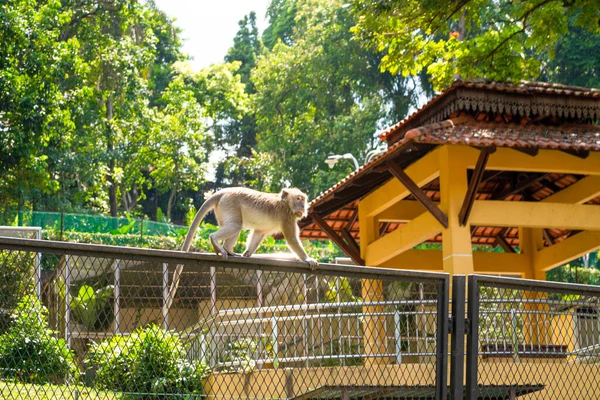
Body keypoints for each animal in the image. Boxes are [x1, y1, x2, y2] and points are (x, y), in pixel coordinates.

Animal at [183, 187, 318, 268]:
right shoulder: (287, 217)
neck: (286, 203)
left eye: (303, 199)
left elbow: (259, 232)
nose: (303, 206)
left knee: (235, 227)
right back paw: (215, 240)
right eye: (298, 199)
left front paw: (247, 253)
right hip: (230, 203)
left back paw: (228, 249)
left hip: (222, 209)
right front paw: (307, 259)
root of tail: (223, 192)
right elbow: (291, 239)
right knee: (236, 226)